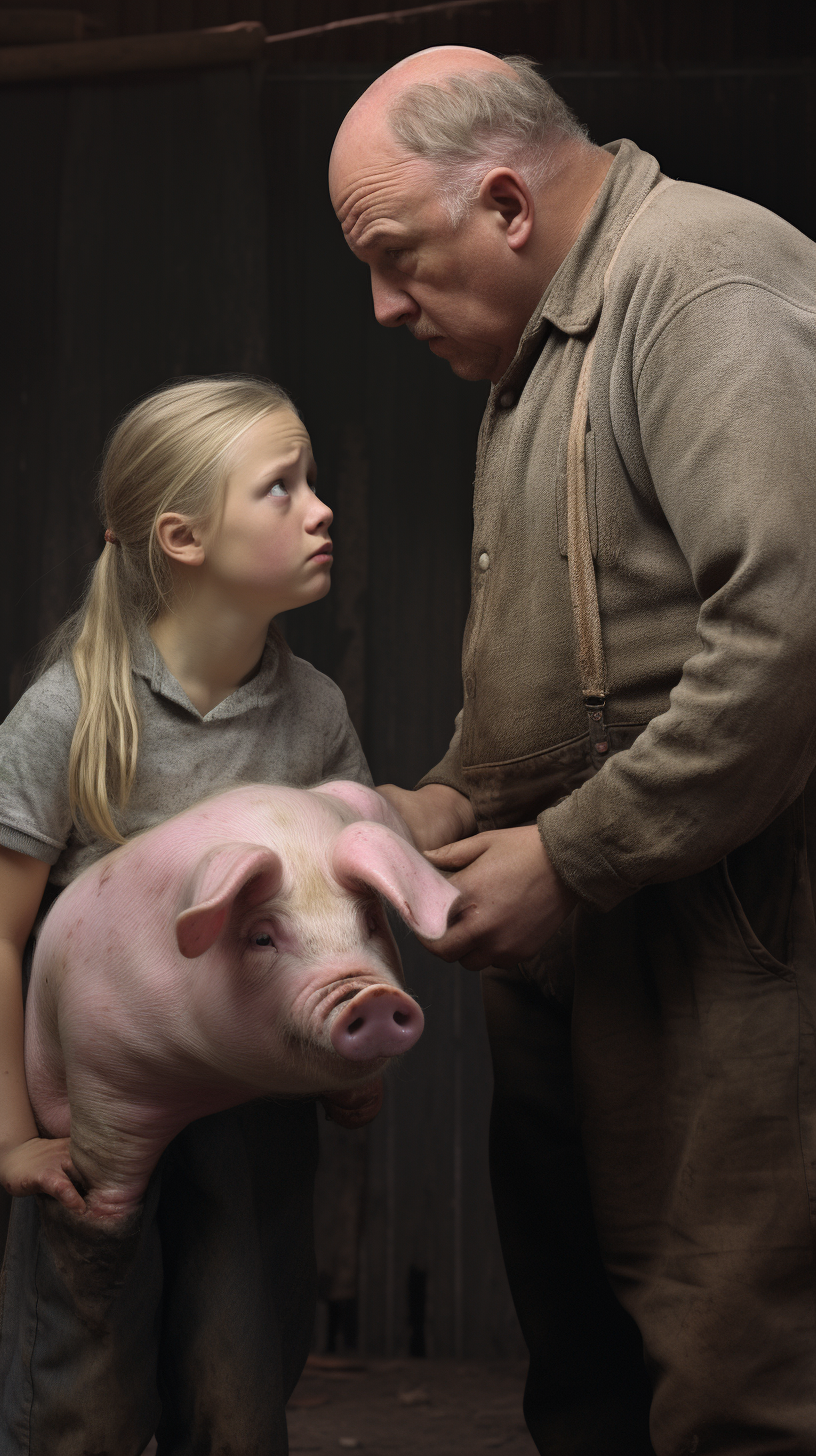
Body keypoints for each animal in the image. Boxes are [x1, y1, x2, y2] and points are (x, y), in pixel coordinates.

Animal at [25, 780, 460, 1223]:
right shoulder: (102, 1065)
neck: (218, 1079)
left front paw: (356, 1108)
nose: (372, 997)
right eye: (262, 938)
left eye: (371, 922)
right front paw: (93, 1216)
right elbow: (106, 1175)